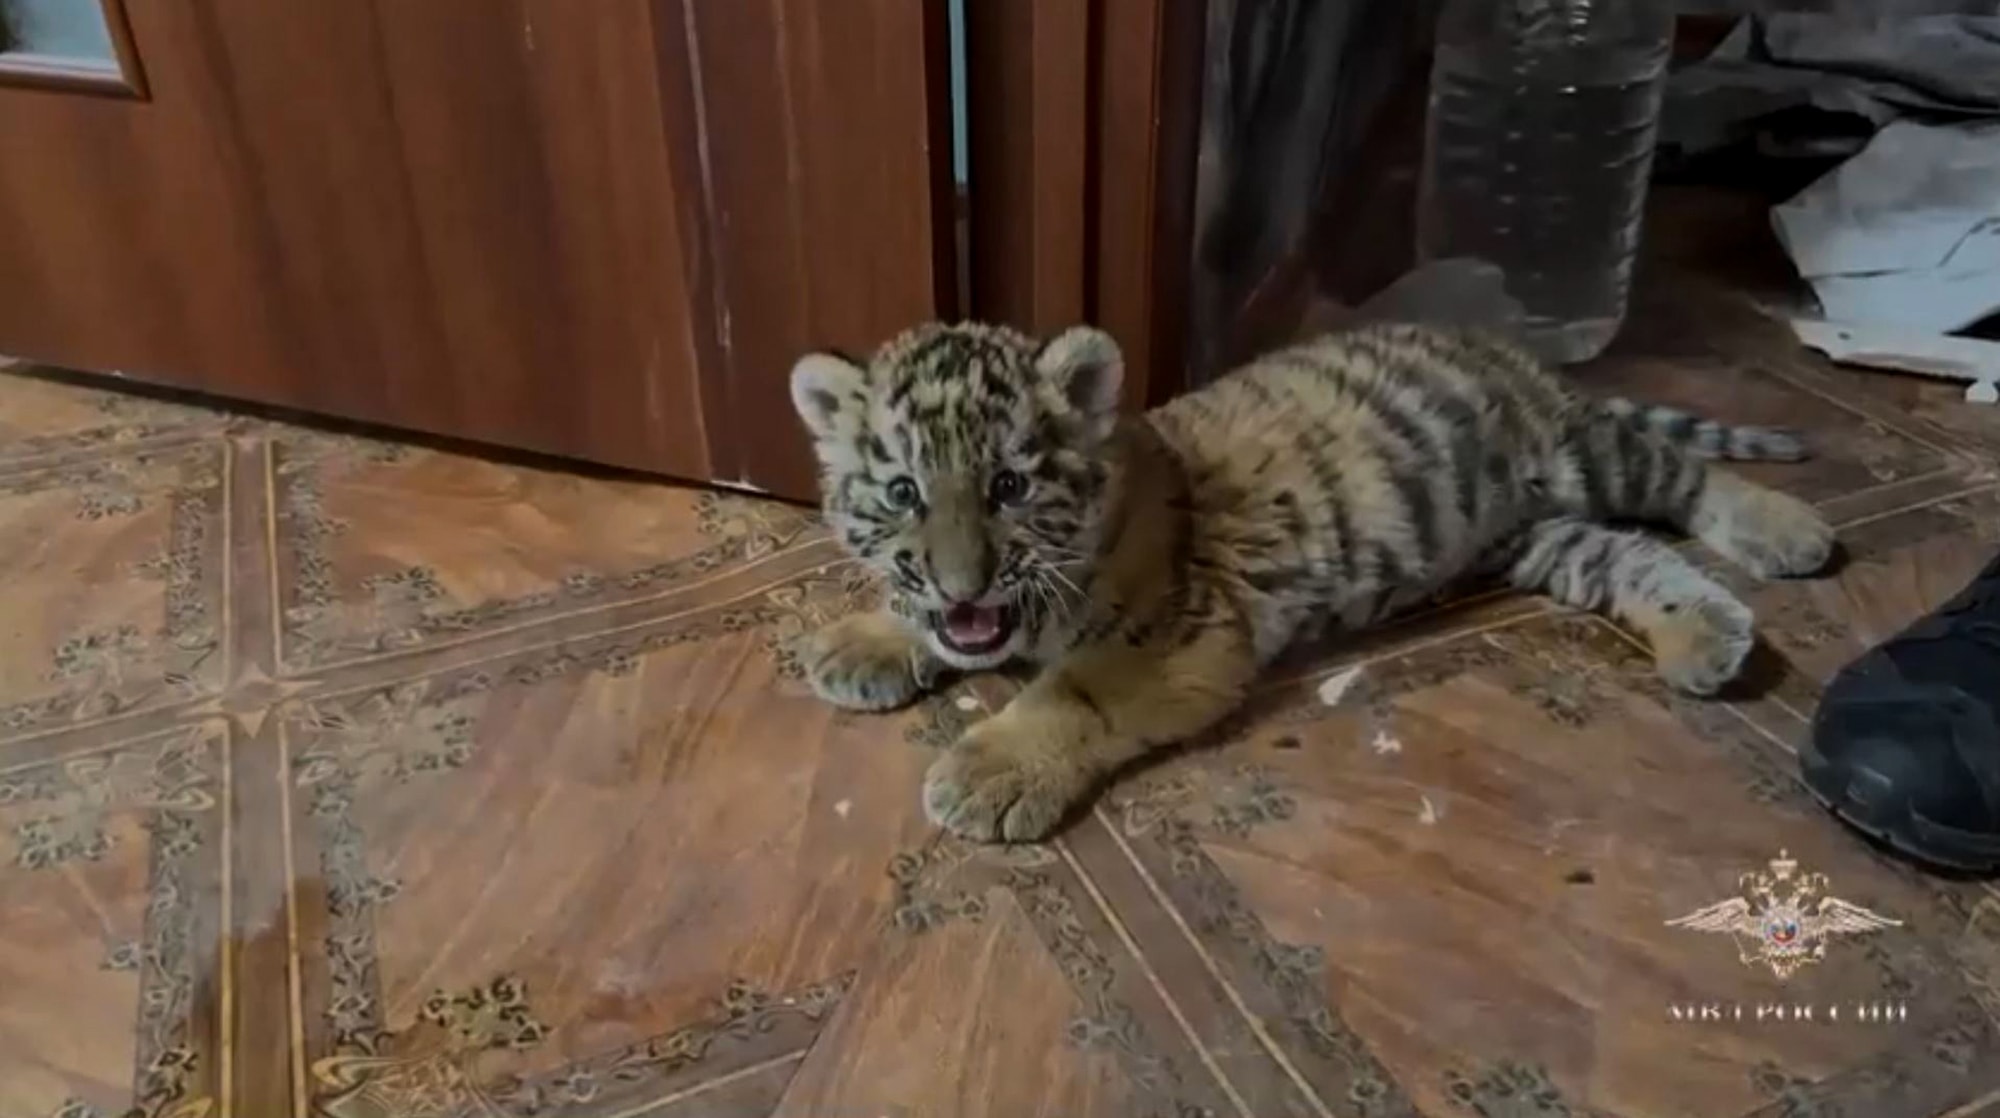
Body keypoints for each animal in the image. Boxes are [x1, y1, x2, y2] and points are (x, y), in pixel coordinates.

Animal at [787, 320, 1834, 843]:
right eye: (903, 491)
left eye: (1009, 486)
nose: (963, 581)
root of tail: (1498, 345)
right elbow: (926, 619)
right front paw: (864, 638)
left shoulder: (1178, 638)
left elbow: (1067, 696)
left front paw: (988, 773)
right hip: (1526, 536)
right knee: (1632, 556)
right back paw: (1707, 637)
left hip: (1580, 452)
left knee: (1687, 476)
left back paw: (1793, 531)